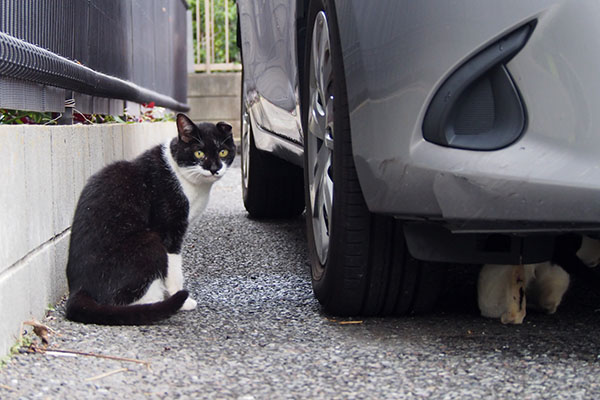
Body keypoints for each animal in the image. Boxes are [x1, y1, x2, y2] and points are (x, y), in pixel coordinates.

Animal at [65, 113, 234, 324]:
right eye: (199, 154)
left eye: (223, 152)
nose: (214, 168)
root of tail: (78, 289)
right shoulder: (169, 231)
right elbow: (174, 270)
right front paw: (182, 300)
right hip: (150, 241)